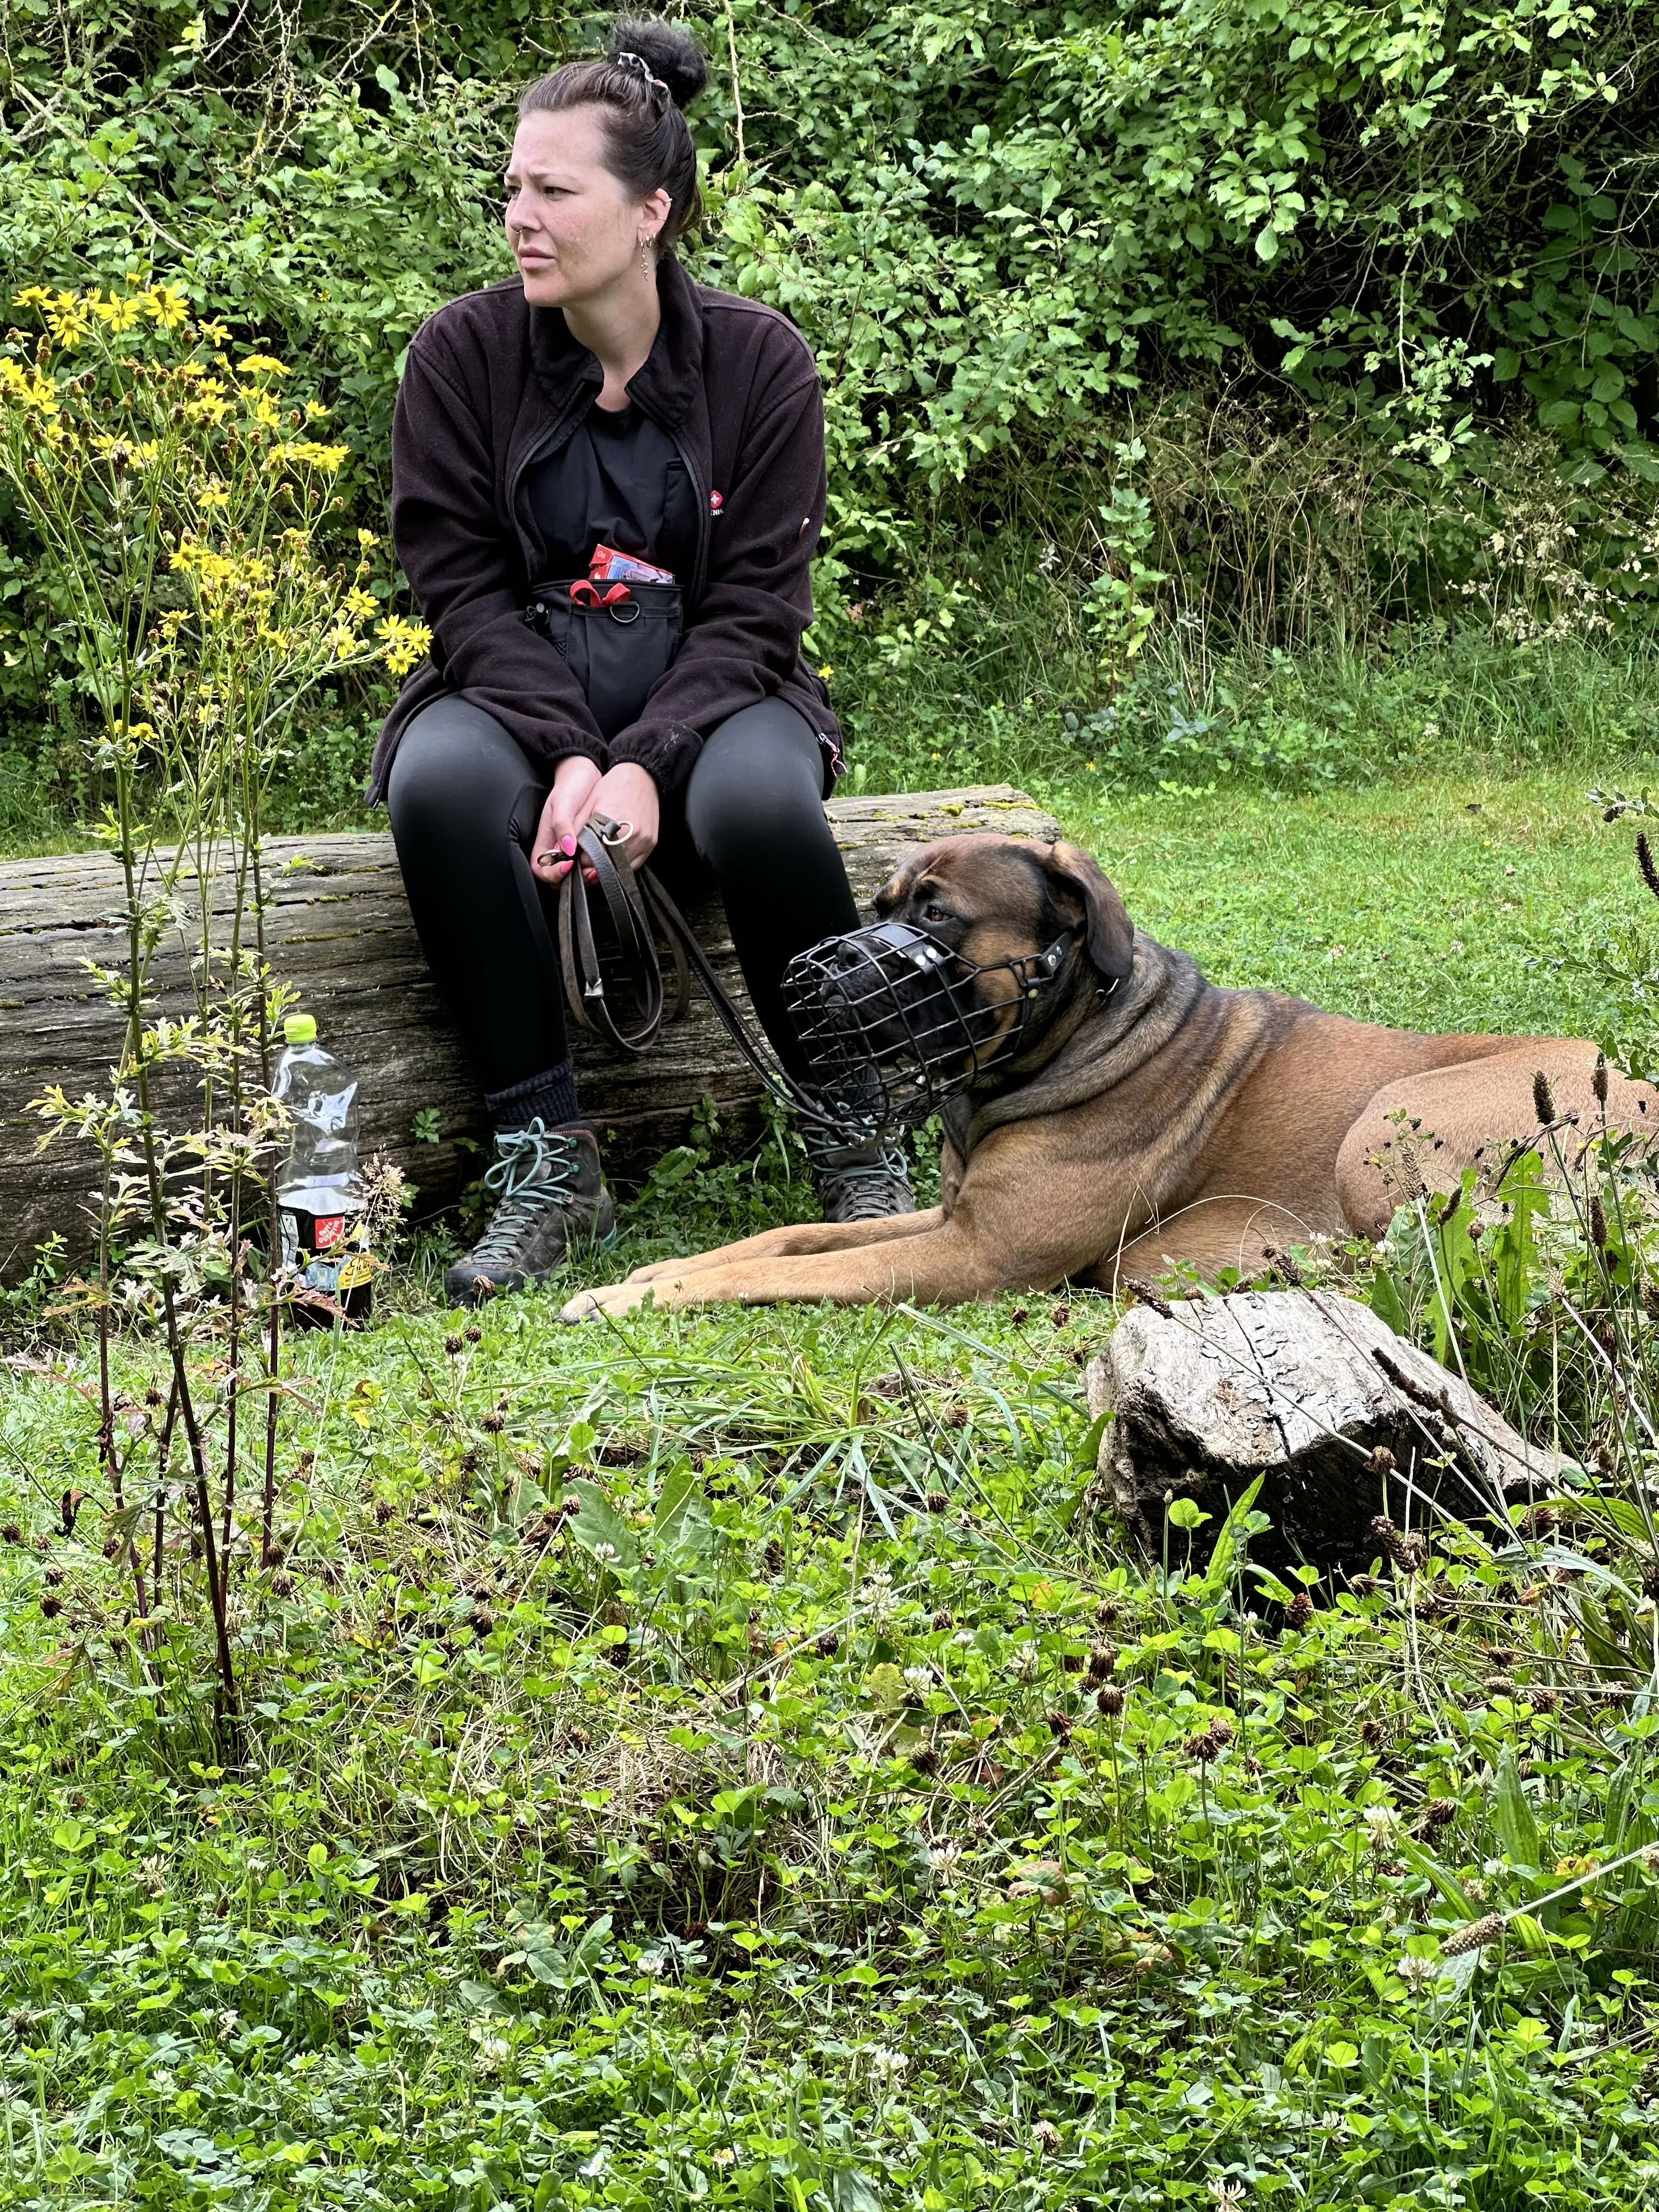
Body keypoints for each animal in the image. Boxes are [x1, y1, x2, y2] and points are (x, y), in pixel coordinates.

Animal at [562, 832, 1659, 1309]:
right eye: (879, 903)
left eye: (935, 914)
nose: (812, 981)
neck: (1069, 1035)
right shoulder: (955, 1217)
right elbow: (788, 1237)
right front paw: (655, 1271)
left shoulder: (974, 1254)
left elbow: (799, 1269)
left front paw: (631, 1298)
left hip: (1385, 1123)